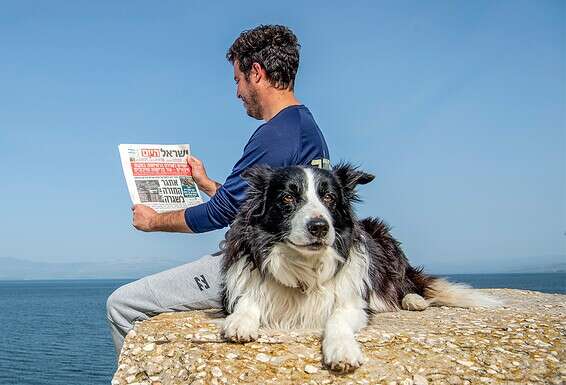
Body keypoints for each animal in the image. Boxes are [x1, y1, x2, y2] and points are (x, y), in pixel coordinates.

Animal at [220, 163, 500, 372]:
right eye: (287, 197)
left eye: (329, 197)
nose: (319, 227)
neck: (304, 266)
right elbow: (247, 302)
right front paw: (239, 322)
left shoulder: (353, 303)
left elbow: (338, 318)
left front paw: (342, 349)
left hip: (386, 241)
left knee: (407, 283)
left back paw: (413, 300)